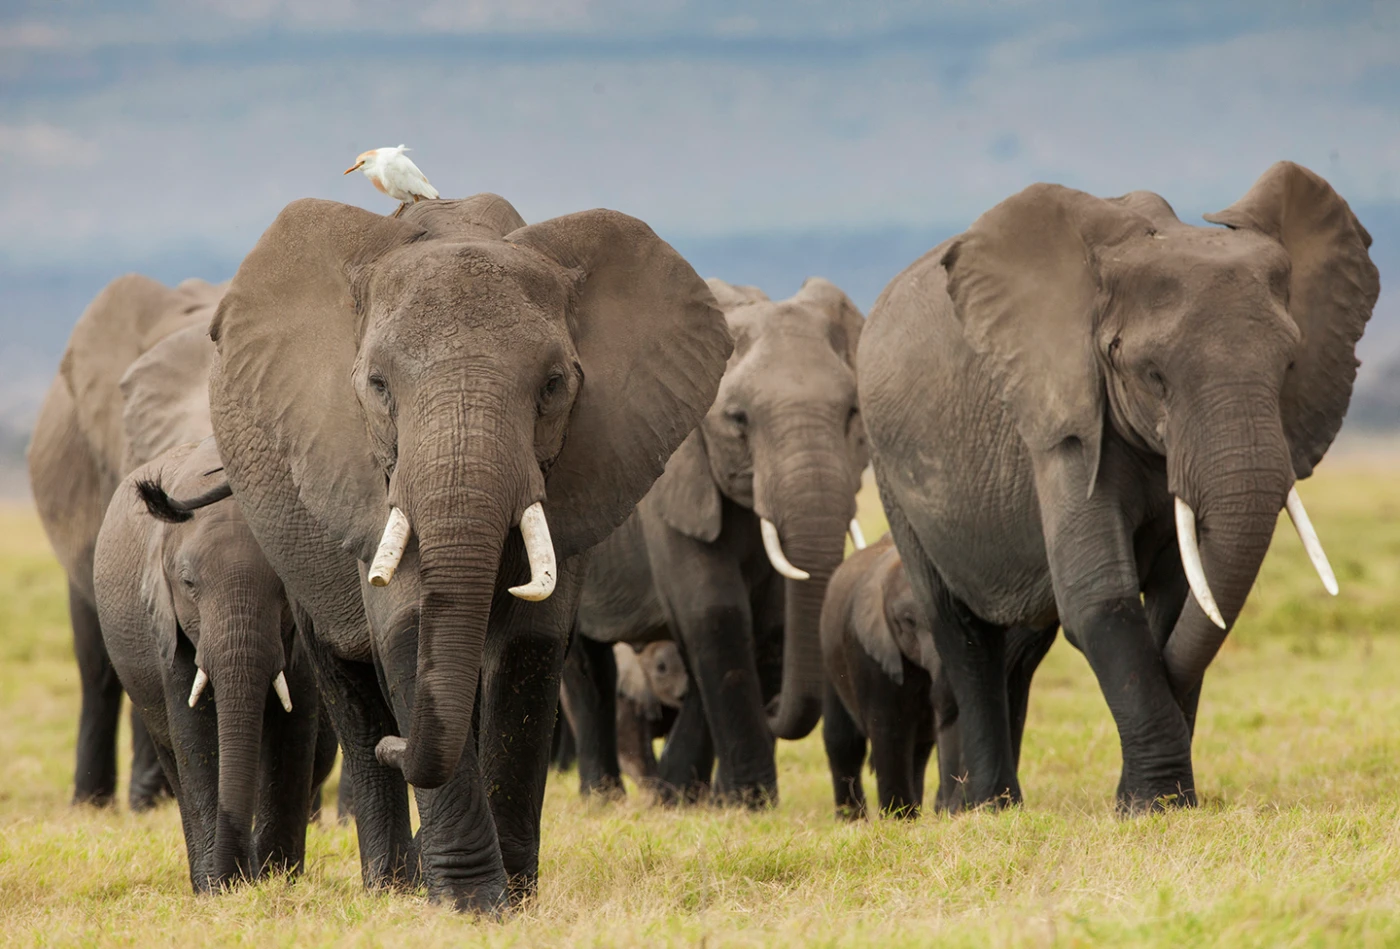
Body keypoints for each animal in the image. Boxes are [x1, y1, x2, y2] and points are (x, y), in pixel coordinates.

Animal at [94, 438, 328, 892]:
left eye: (284, 585)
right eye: (188, 584)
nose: (235, 877)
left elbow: (293, 728)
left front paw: (275, 881)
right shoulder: (167, 624)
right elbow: (195, 733)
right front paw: (218, 890)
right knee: (171, 752)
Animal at [148, 194, 731, 911]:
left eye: (553, 386)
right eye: (377, 386)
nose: (398, 746)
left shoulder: (584, 463)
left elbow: (531, 646)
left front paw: (513, 897)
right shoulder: (360, 465)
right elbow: (409, 627)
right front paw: (470, 904)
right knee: (344, 680)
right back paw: (390, 881)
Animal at [567, 276, 868, 805]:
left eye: (853, 412)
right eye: (738, 419)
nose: (773, 706)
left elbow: (769, 624)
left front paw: (716, 800)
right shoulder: (671, 482)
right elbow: (714, 612)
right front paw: (741, 799)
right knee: (589, 667)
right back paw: (603, 799)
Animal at [820, 534, 1056, 818]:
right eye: (908, 621)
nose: (946, 809)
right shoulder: (868, 653)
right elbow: (889, 727)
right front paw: (897, 819)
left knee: (918, 750)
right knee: (845, 740)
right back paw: (854, 819)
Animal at [858, 161, 1380, 812]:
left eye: (1288, 368)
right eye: (1151, 374)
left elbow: (1182, 600)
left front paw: (1153, 800)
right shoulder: (1063, 414)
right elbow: (1099, 601)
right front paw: (1153, 805)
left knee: (1021, 649)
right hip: (891, 471)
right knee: (961, 632)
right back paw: (984, 808)